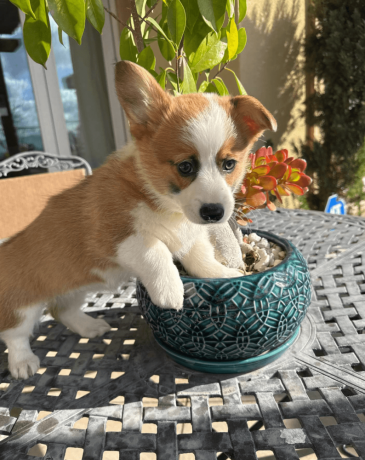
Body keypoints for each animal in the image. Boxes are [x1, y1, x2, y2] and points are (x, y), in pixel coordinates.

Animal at [0, 60, 274, 378]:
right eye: (185, 166)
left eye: (229, 164)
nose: (214, 212)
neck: (165, 203)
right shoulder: (116, 237)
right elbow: (154, 250)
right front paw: (170, 291)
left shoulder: (190, 235)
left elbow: (200, 258)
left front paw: (222, 274)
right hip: (21, 304)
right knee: (15, 334)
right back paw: (23, 363)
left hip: (74, 288)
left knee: (62, 310)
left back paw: (90, 326)